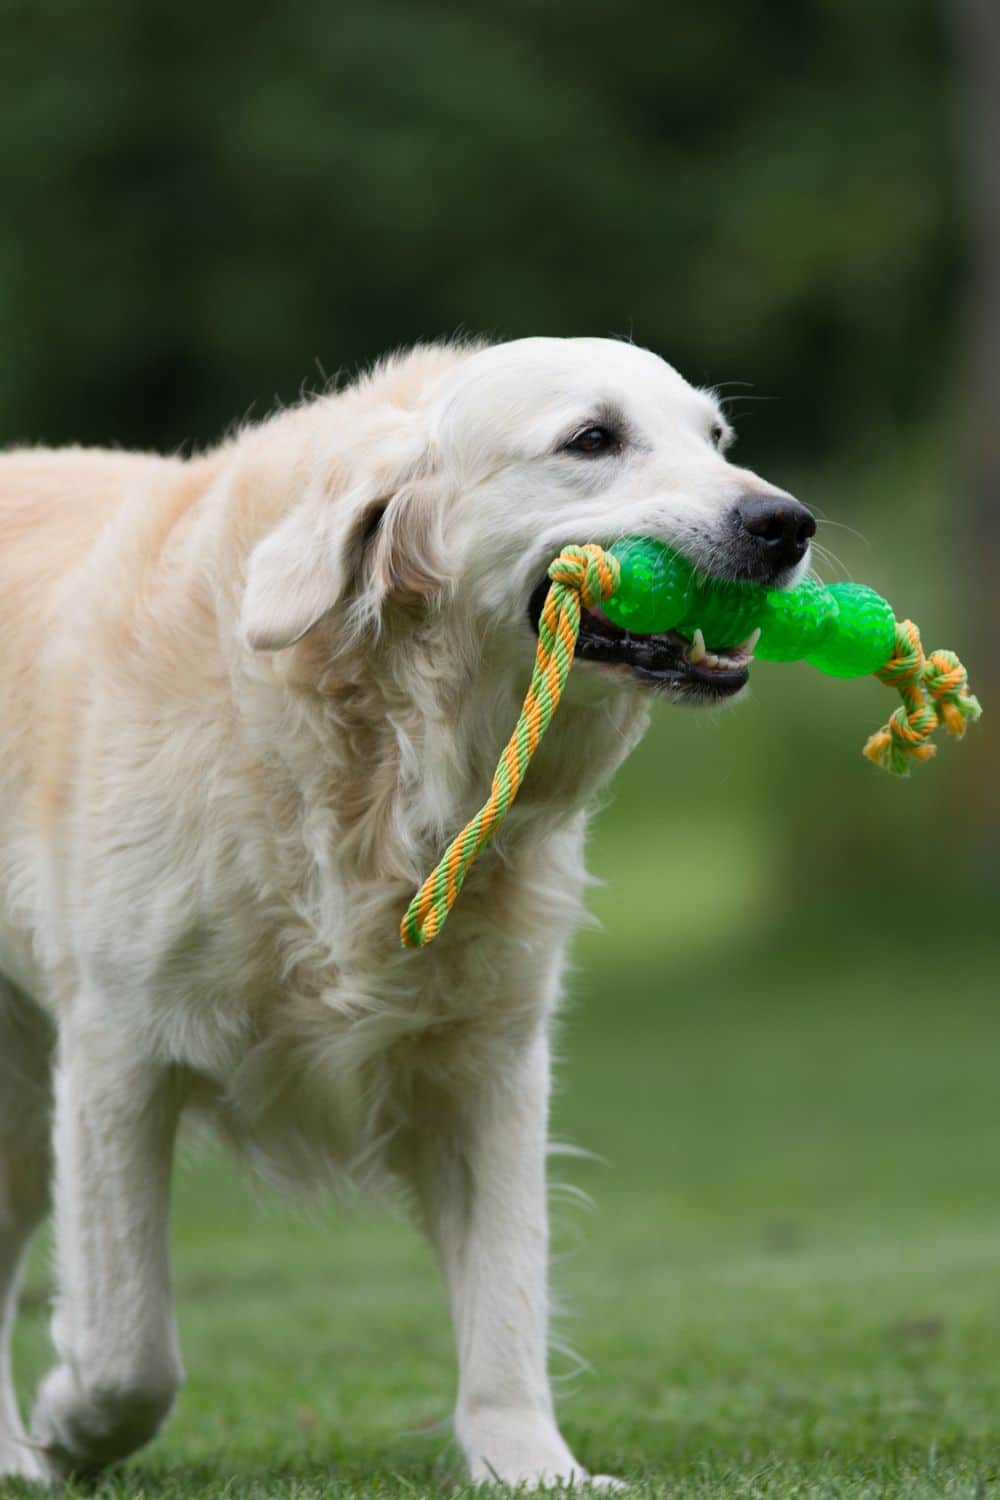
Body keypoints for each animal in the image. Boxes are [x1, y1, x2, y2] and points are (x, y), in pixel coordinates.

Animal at [0, 337, 815, 1488]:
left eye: (716, 439)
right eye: (593, 438)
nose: (786, 523)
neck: (386, 758)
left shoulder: (491, 1063)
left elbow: (507, 1295)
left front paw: (535, 1467)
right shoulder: (120, 1048)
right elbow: (130, 1345)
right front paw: (71, 1424)